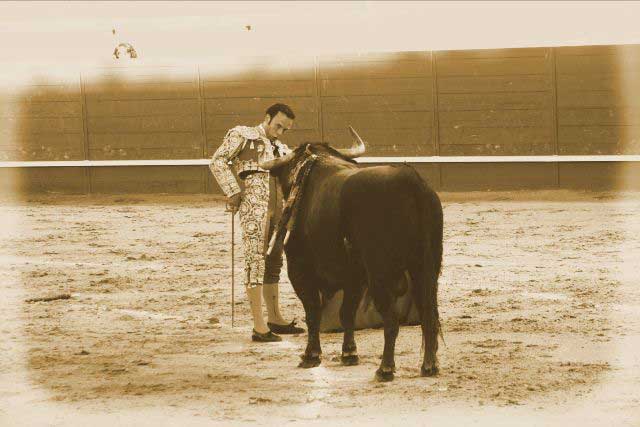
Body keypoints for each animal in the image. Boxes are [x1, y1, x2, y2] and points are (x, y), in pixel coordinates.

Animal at [258, 127, 442, 382]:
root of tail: (410, 181)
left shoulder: (299, 269)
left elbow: (313, 312)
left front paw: (311, 355)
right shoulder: (354, 277)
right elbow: (347, 313)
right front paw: (349, 353)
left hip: (380, 274)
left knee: (392, 320)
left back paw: (385, 369)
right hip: (426, 268)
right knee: (428, 315)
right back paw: (429, 366)